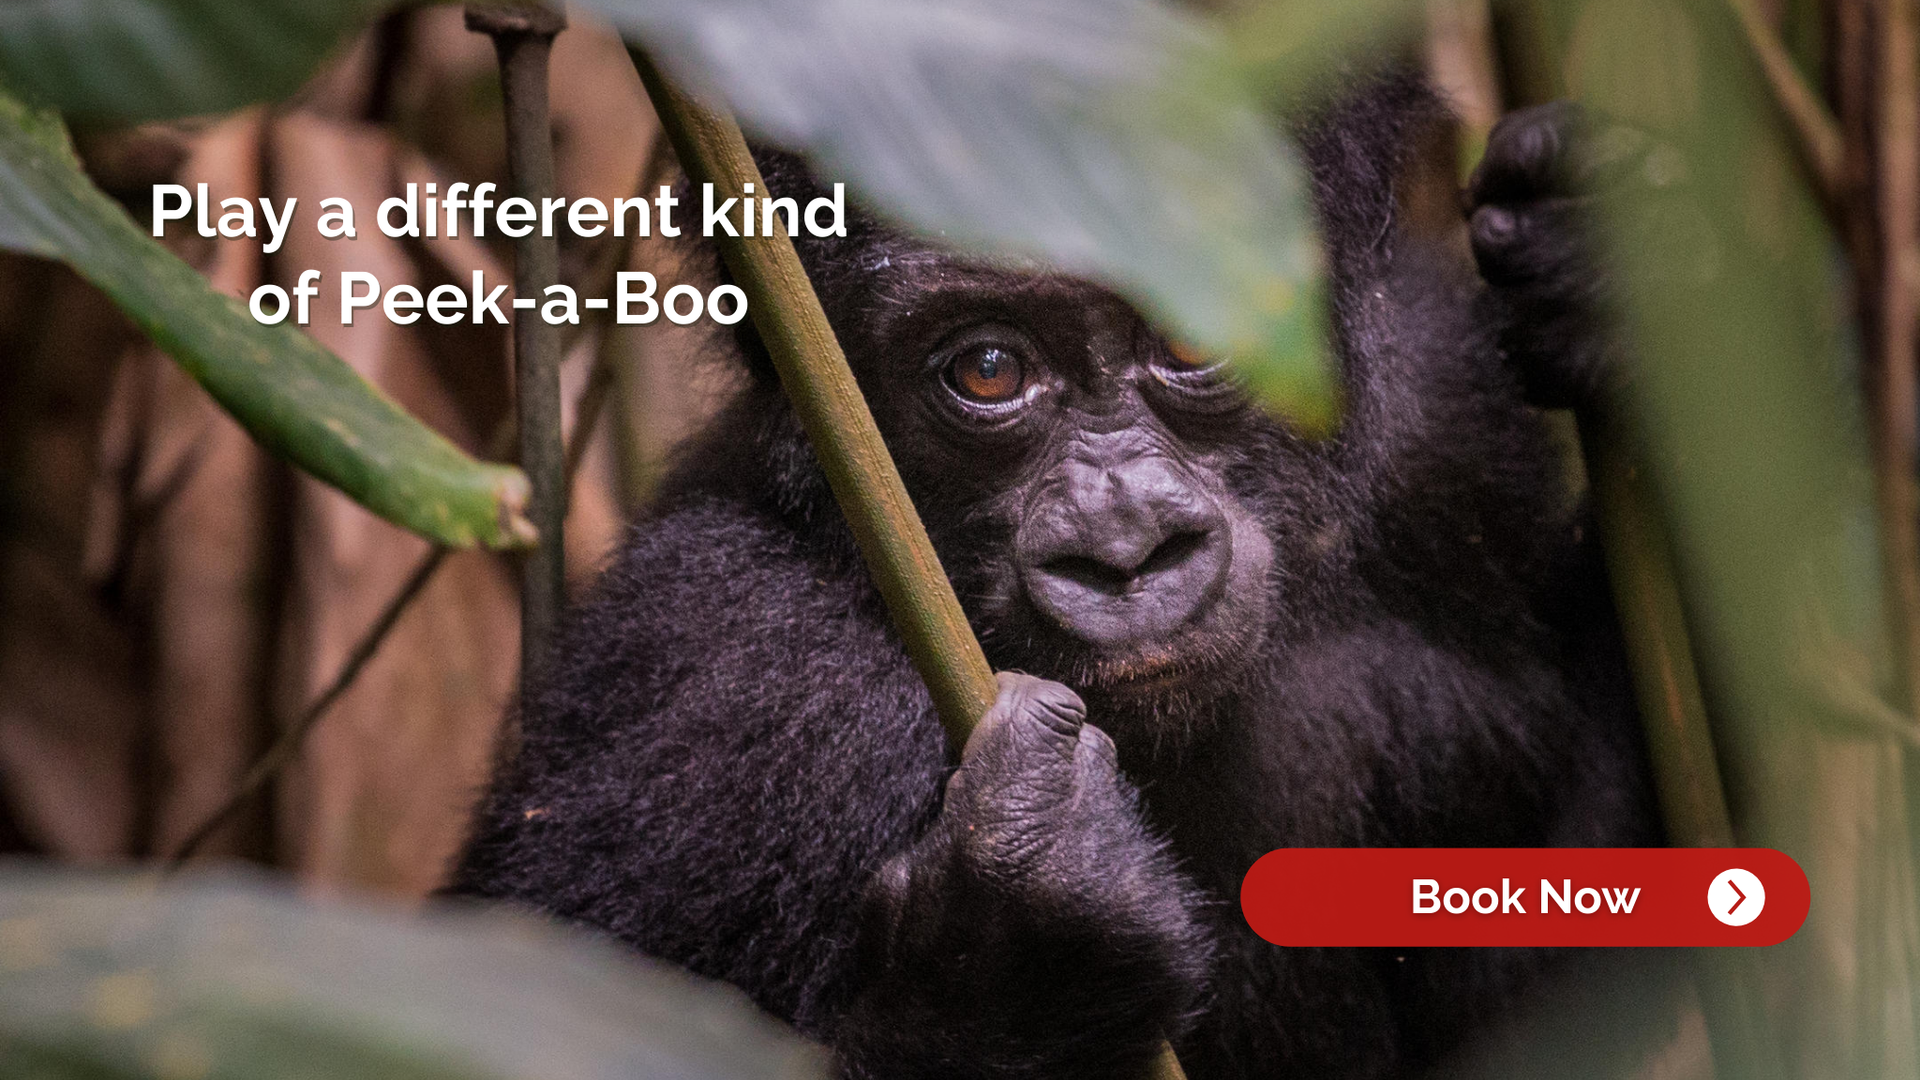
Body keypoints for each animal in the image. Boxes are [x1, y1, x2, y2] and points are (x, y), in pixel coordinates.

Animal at [448, 72, 1662, 1079]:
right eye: (988, 368)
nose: (1123, 546)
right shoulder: (725, 681)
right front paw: (1013, 960)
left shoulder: (1441, 423)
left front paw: (1618, 264)